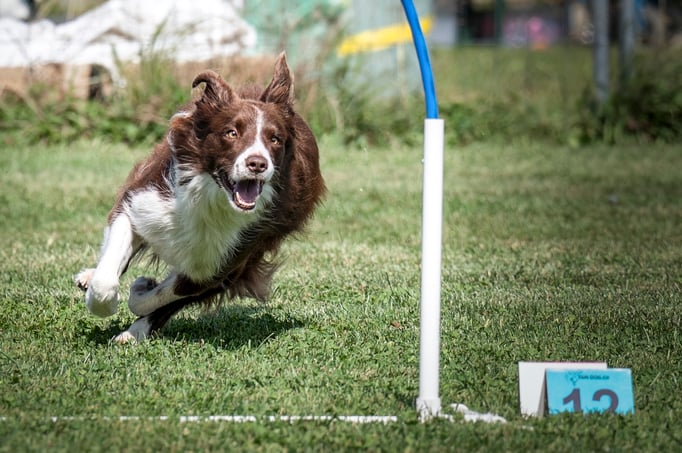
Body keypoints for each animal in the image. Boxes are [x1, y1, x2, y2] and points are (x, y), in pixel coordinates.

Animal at [74, 53, 325, 343]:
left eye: (274, 139)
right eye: (231, 132)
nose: (257, 164)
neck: (211, 198)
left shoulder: (224, 263)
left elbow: (164, 295)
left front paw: (140, 291)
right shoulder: (140, 203)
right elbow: (107, 277)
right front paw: (103, 296)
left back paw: (134, 333)